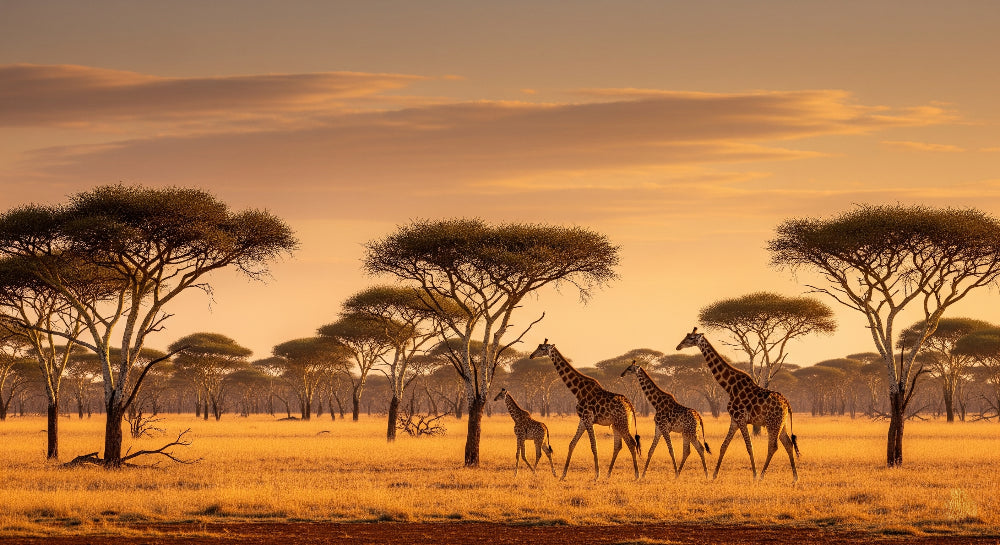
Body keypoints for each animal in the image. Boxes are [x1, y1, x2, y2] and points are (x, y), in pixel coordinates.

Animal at [530, 339, 642, 480]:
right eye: (539, 346)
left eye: (543, 348)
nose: (531, 355)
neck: (578, 391)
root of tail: (631, 406)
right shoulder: (583, 419)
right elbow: (572, 443)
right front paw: (563, 475)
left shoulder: (588, 418)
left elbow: (594, 446)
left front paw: (596, 475)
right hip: (618, 423)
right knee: (619, 445)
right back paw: (609, 474)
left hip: (622, 422)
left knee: (631, 443)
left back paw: (637, 475)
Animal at [676, 327, 800, 483]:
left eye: (691, 338)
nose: (678, 346)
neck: (729, 387)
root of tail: (787, 404)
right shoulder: (734, 420)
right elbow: (724, 446)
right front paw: (715, 475)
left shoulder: (741, 419)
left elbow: (749, 446)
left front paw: (754, 475)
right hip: (781, 424)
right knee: (788, 444)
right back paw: (795, 477)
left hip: (772, 423)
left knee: (774, 447)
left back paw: (761, 476)